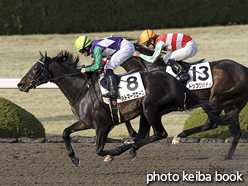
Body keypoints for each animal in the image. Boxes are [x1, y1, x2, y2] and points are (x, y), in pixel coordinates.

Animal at [16, 50, 224, 166]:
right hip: (145, 112)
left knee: (160, 134)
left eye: (36, 69)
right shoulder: (85, 122)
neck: (81, 90)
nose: (20, 84)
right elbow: (65, 133)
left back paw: (131, 148)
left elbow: (99, 150)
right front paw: (74, 159)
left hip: (150, 108)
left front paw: (113, 153)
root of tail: (178, 83)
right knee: (145, 134)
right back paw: (132, 147)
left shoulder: (103, 126)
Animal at [119, 42, 247, 160]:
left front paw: (131, 140)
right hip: (232, 105)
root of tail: (244, 69)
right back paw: (227, 157)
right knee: (234, 133)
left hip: (216, 99)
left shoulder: (147, 105)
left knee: (212, 124)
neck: (150, 70)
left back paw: (179, 136)